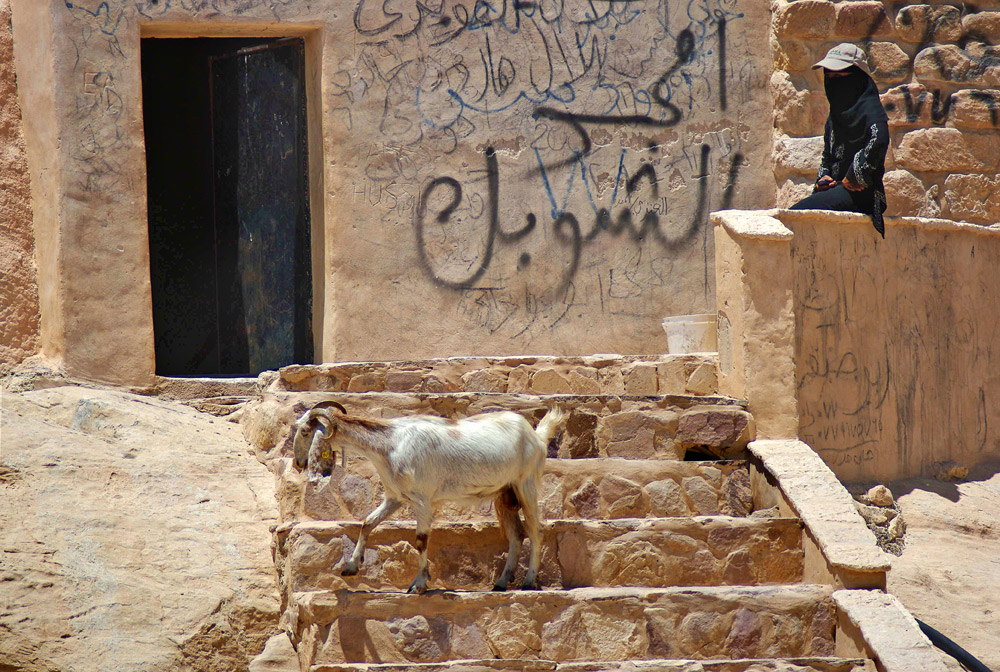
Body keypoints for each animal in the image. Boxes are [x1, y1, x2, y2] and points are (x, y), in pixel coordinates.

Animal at [291, 400, 565, 594]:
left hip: (526, 484)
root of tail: (537, 436)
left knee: (536, 530)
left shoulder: (422, 500)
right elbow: (367, 522)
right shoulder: (395, 498)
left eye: (305, 431)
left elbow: (421, 540)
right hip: (504, 494)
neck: (389, 444)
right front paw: (350, 567)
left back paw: (529, 581)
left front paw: (419, 584)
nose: (299, 463)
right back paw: (501, 583)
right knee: (516, 535)